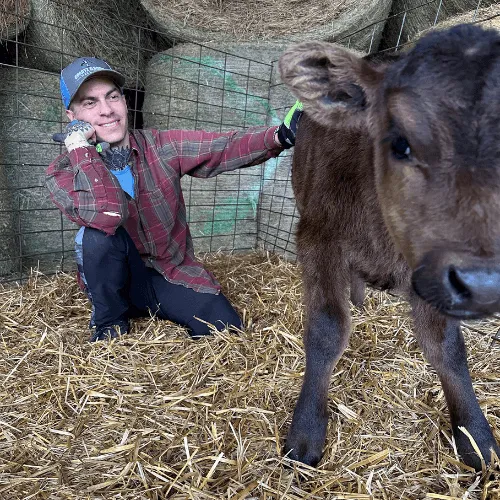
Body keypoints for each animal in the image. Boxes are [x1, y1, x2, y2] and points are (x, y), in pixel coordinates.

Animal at [278, 23, 500, 471]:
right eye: (401, 143)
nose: (483, 282)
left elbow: (447, 348)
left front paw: (474, 435)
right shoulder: (318, 239)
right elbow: (327, 329)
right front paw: (306, 432)